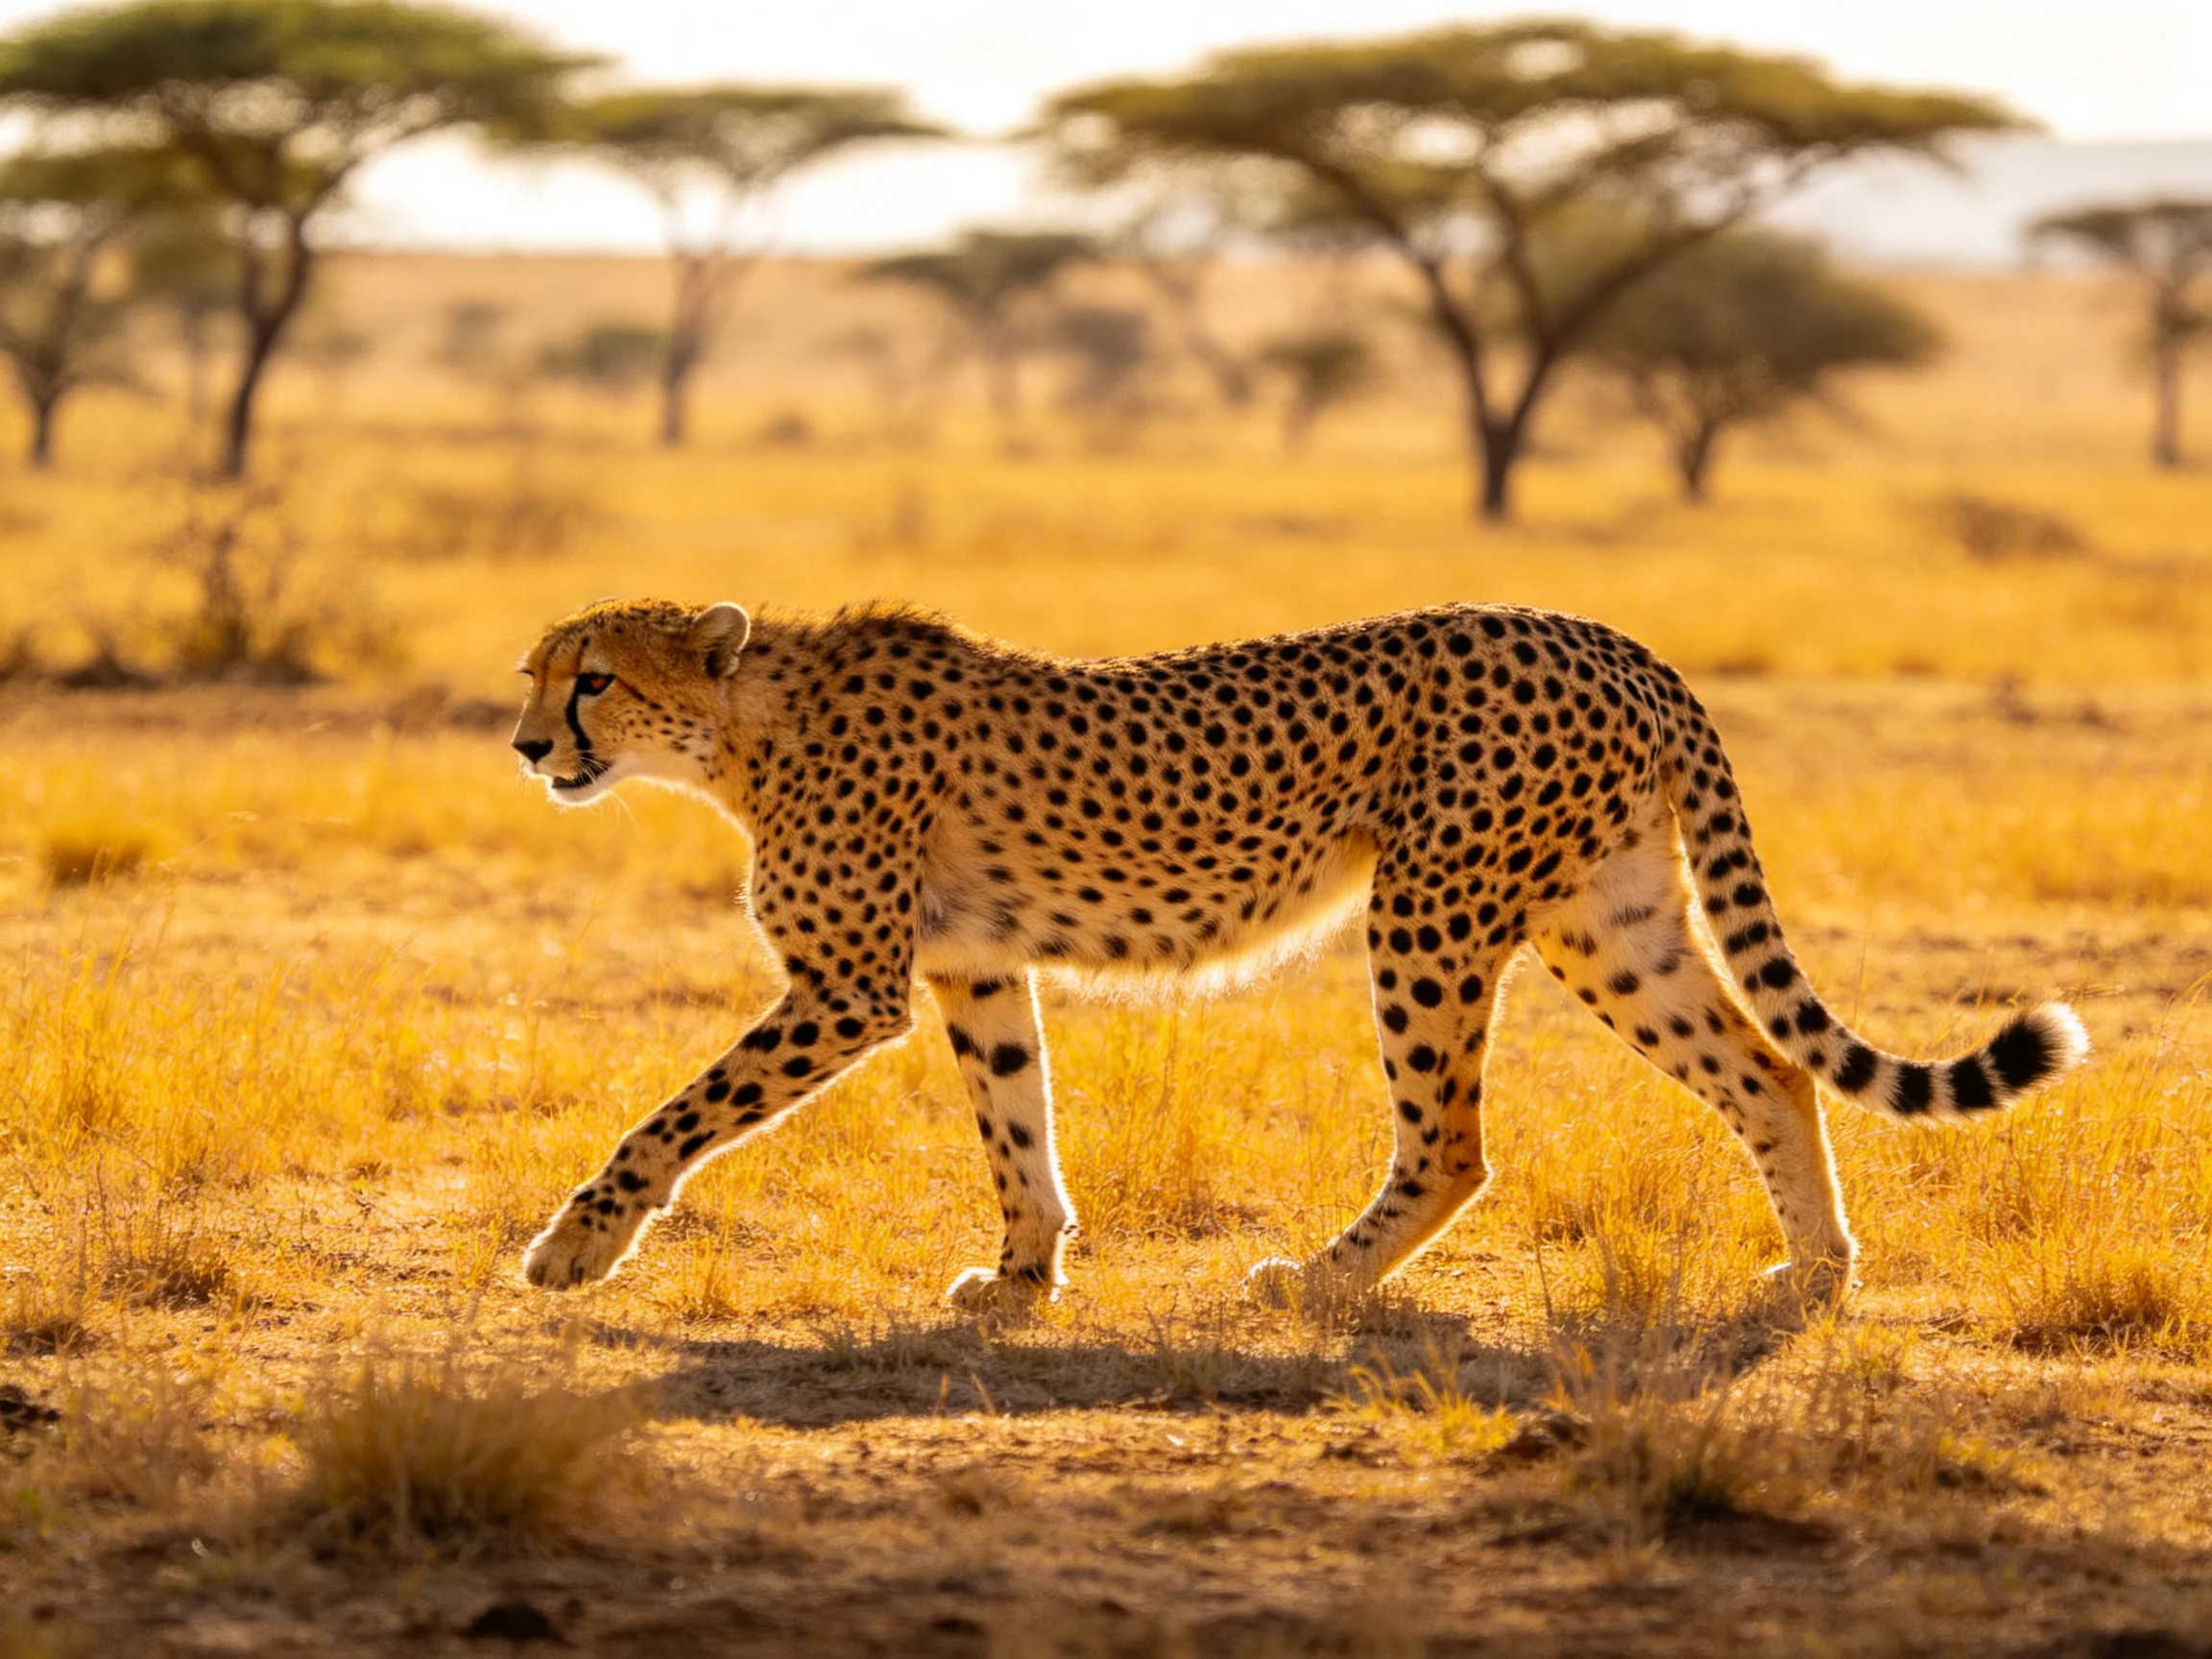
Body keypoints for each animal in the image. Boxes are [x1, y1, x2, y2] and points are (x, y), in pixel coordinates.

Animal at [509, 596, 2088, 1312]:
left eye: (595, 679)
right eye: (536, 674)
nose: (527, 748)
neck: (743, 730)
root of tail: (1608, 636)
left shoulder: (848, 989)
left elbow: (672, 1118)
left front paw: (576, 1242)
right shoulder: (975, 967)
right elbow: (1017, 1124)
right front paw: (1024, 1275)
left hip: (1431, 909)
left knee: (1453, 1143)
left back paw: (1323, 1282)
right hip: (1613, 920)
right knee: (1771, 1072)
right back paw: (1815, 1276)